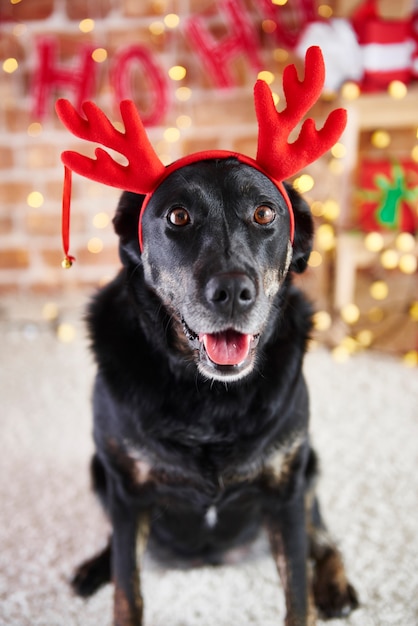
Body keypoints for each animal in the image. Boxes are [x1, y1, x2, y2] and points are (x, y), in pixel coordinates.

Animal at [71, 158, 356, 620]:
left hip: (309, 468)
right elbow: (127, 588)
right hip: (100, 472)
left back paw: (335, 586)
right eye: (178, 216)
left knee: (324, 540)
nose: (233, 292)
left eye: (264, 213)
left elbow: (298, 589)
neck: (207, 396)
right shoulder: (128, 491)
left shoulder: (286, 490)